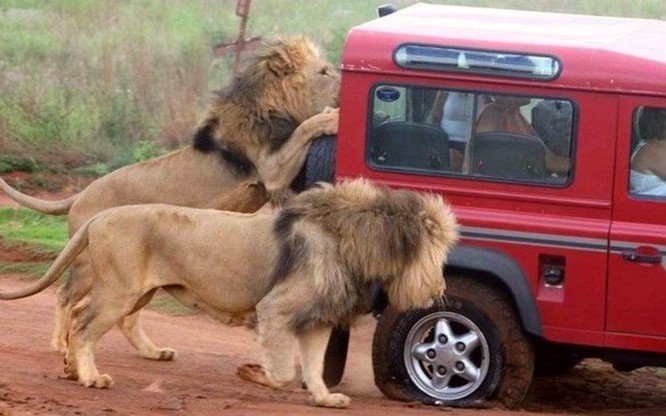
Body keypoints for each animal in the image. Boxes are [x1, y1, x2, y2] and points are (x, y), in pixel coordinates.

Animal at [0, 35, 340, 360]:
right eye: (324, 72)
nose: (341, 76)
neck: (274, 102)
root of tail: (81, 194)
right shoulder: (271, 168)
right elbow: (306, 126)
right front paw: (332, 117)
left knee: (126, 316)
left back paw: (152, 352)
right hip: (86, 264)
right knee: (66, 296)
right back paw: (60, 344)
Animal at [0, 177, 456, 408]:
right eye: (436, 252)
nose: (439, 288)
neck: (354, 243)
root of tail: (101, 216)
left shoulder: (318, 319)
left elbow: (311, 366)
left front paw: (326, 398)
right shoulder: (276, 309)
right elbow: (283, 371)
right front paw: (252, 373)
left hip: (137, 291)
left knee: (95, 320)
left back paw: (77, 367)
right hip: (118, 291)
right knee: (83, 326)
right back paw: (90, 377)